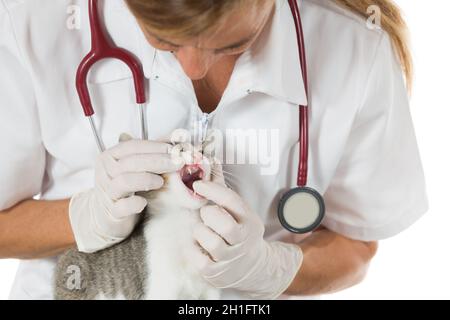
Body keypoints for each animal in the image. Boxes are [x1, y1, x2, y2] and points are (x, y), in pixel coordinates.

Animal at [54, 136, 221, 300]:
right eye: (179, 150)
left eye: (203, 151)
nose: (198, 155)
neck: (184, 220)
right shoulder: (161, 288)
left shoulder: (210, 289)